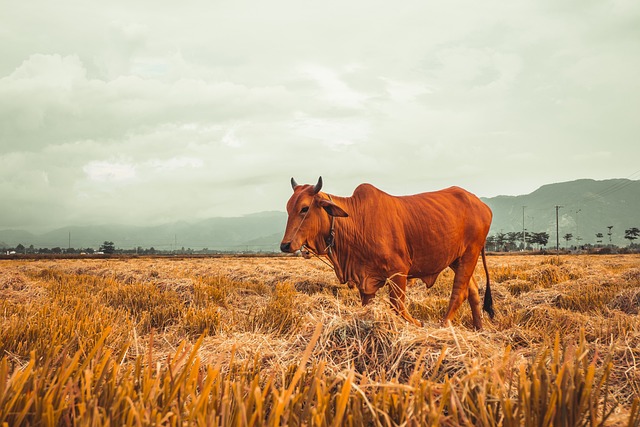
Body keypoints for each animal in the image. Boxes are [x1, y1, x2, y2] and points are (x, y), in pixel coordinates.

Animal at [280, 177, 496, 332]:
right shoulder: (365, 281)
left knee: (459, 293)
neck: (356, 221)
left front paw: (418, 324)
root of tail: (483, 205)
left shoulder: (399, 272)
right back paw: (479, 329)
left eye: (304, 208)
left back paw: (444, 326)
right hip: (457, 259)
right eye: (288, 208)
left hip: (470, 253)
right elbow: (369, 306)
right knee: (472, 290)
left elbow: (397, 305)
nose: (285, 245)